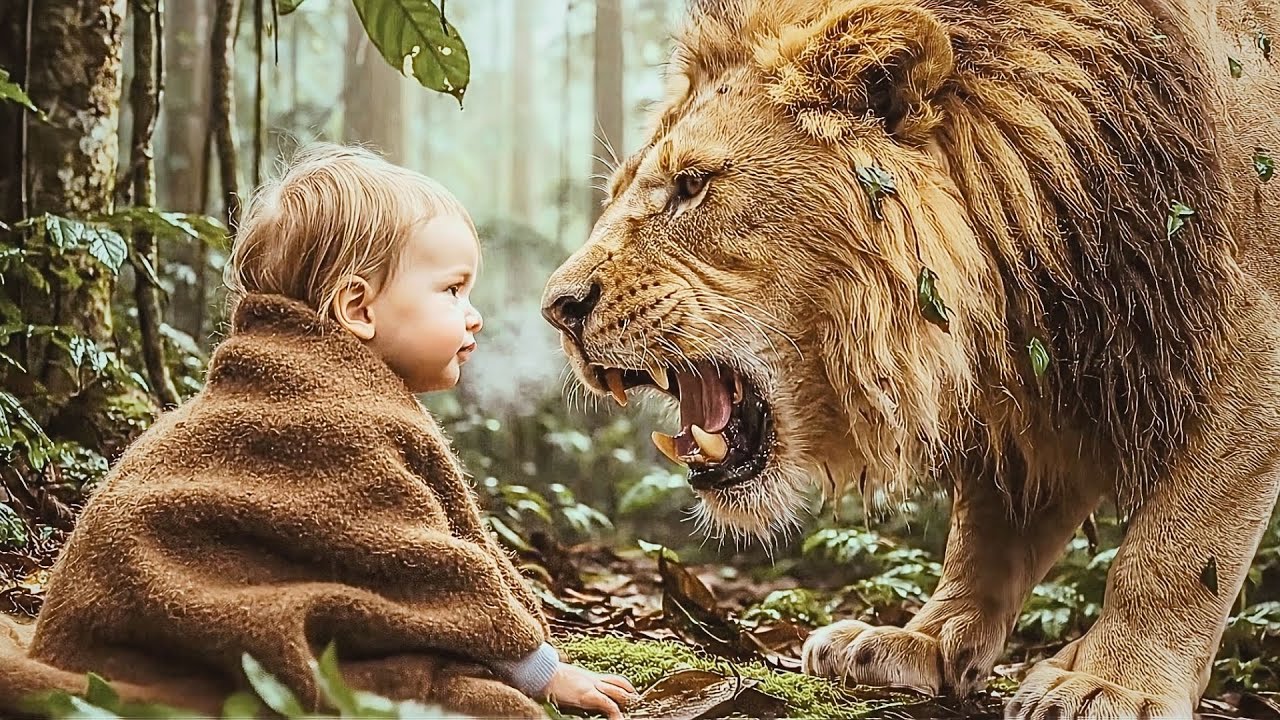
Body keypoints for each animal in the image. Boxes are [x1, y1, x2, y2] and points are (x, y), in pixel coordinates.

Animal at [541, 0, 1280, 716]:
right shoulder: (1035, 368)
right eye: (618, 192)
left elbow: (1179, 544)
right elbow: (987, 531)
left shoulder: (1250, 342)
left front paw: (1112, 684)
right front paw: (926, 641)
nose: (558, 307)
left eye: (692, 185)